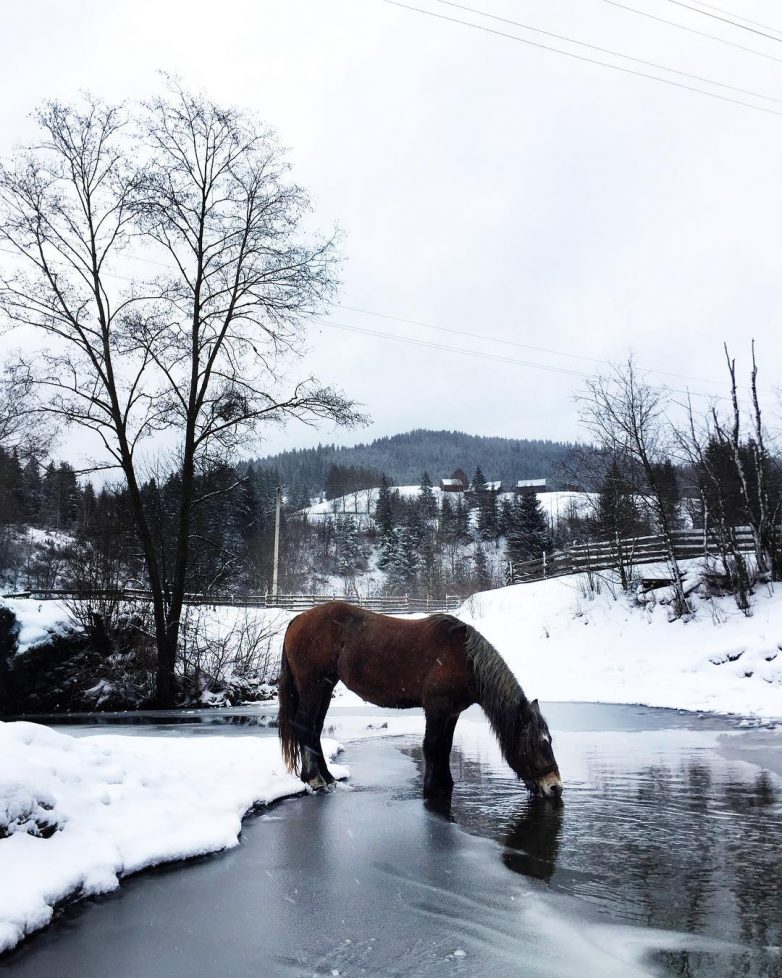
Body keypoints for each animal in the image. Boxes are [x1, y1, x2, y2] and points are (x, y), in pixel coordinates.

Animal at [278, 600, 568, 796]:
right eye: (534, 744)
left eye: (550, 741)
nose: (555, 787)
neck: (466, 660)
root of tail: (299, 618)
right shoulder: (437, 708)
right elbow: (431, 746)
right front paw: (432, 787)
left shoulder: (452, 712)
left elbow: (445, 747)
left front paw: (446, 783)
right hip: (313, 685)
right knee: (305, 726)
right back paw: (315, 780)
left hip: (325, 687)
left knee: (314, 730)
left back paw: (327, 777)